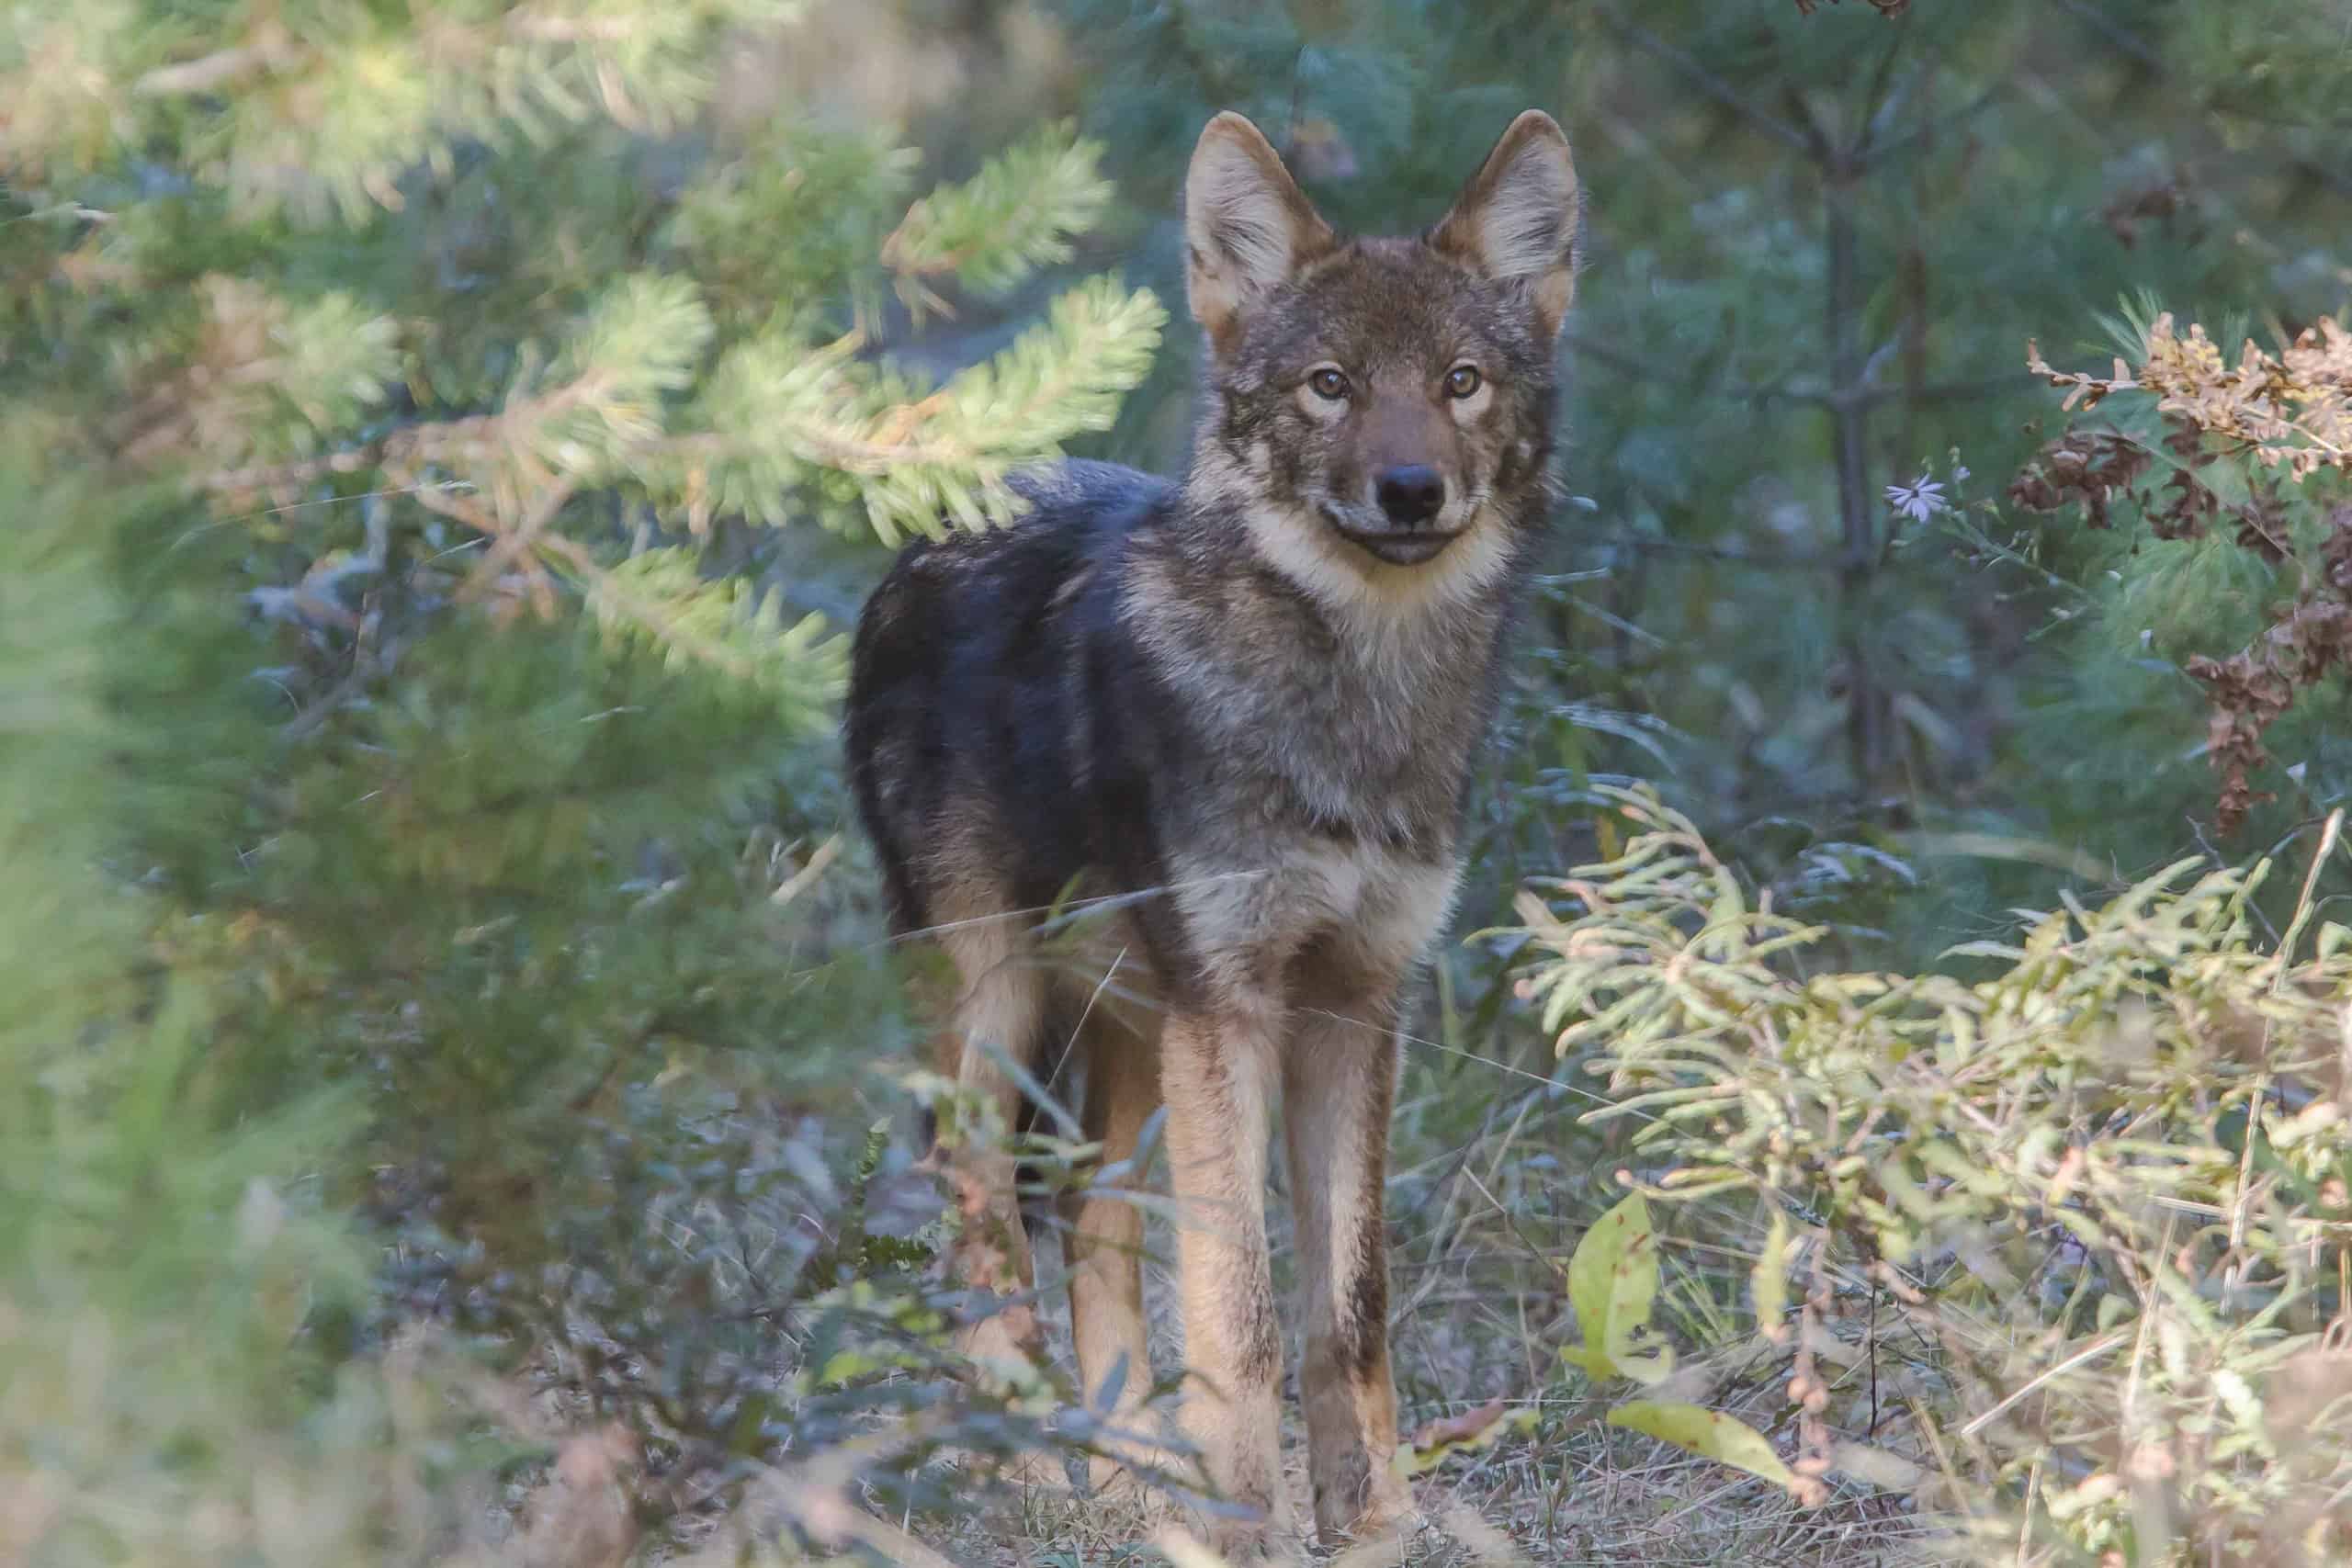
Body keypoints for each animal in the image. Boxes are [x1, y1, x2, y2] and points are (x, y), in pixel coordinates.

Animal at [845, 108, 1580, 1556]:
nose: (1409, 489)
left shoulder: (1356, 1000)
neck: (1351, 706)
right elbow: (1238, 1309)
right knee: (982, 1220)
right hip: (996, 1009)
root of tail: (930, 523)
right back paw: (1030, 1469)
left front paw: (1372, 1521)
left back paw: (1134, 1477)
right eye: (1330, 386)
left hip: (1131, 1026)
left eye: (1461, 381)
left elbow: (1347, 1306)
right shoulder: (1232, 1004)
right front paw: (1246, 1527)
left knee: (1092, 1220)